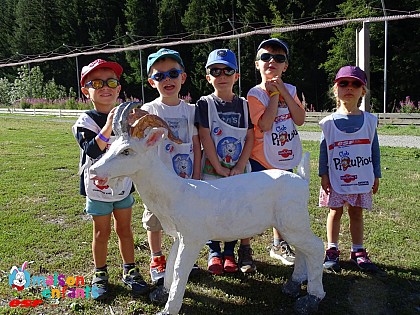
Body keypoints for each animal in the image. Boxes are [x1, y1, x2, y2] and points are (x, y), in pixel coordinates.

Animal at [89, 103, 324, 314]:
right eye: (111, 145)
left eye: (127, 151)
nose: (93, 171)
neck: (177, 192)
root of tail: (302, 180)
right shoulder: (179, 237)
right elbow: (171, 262)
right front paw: (162, 293)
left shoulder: (193, 238)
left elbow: (179, 268)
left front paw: (169, 309)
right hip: (291, 225)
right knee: (303, 250)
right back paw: (293, 285)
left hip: (293, 223)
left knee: (316, 247)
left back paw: (312, 298)